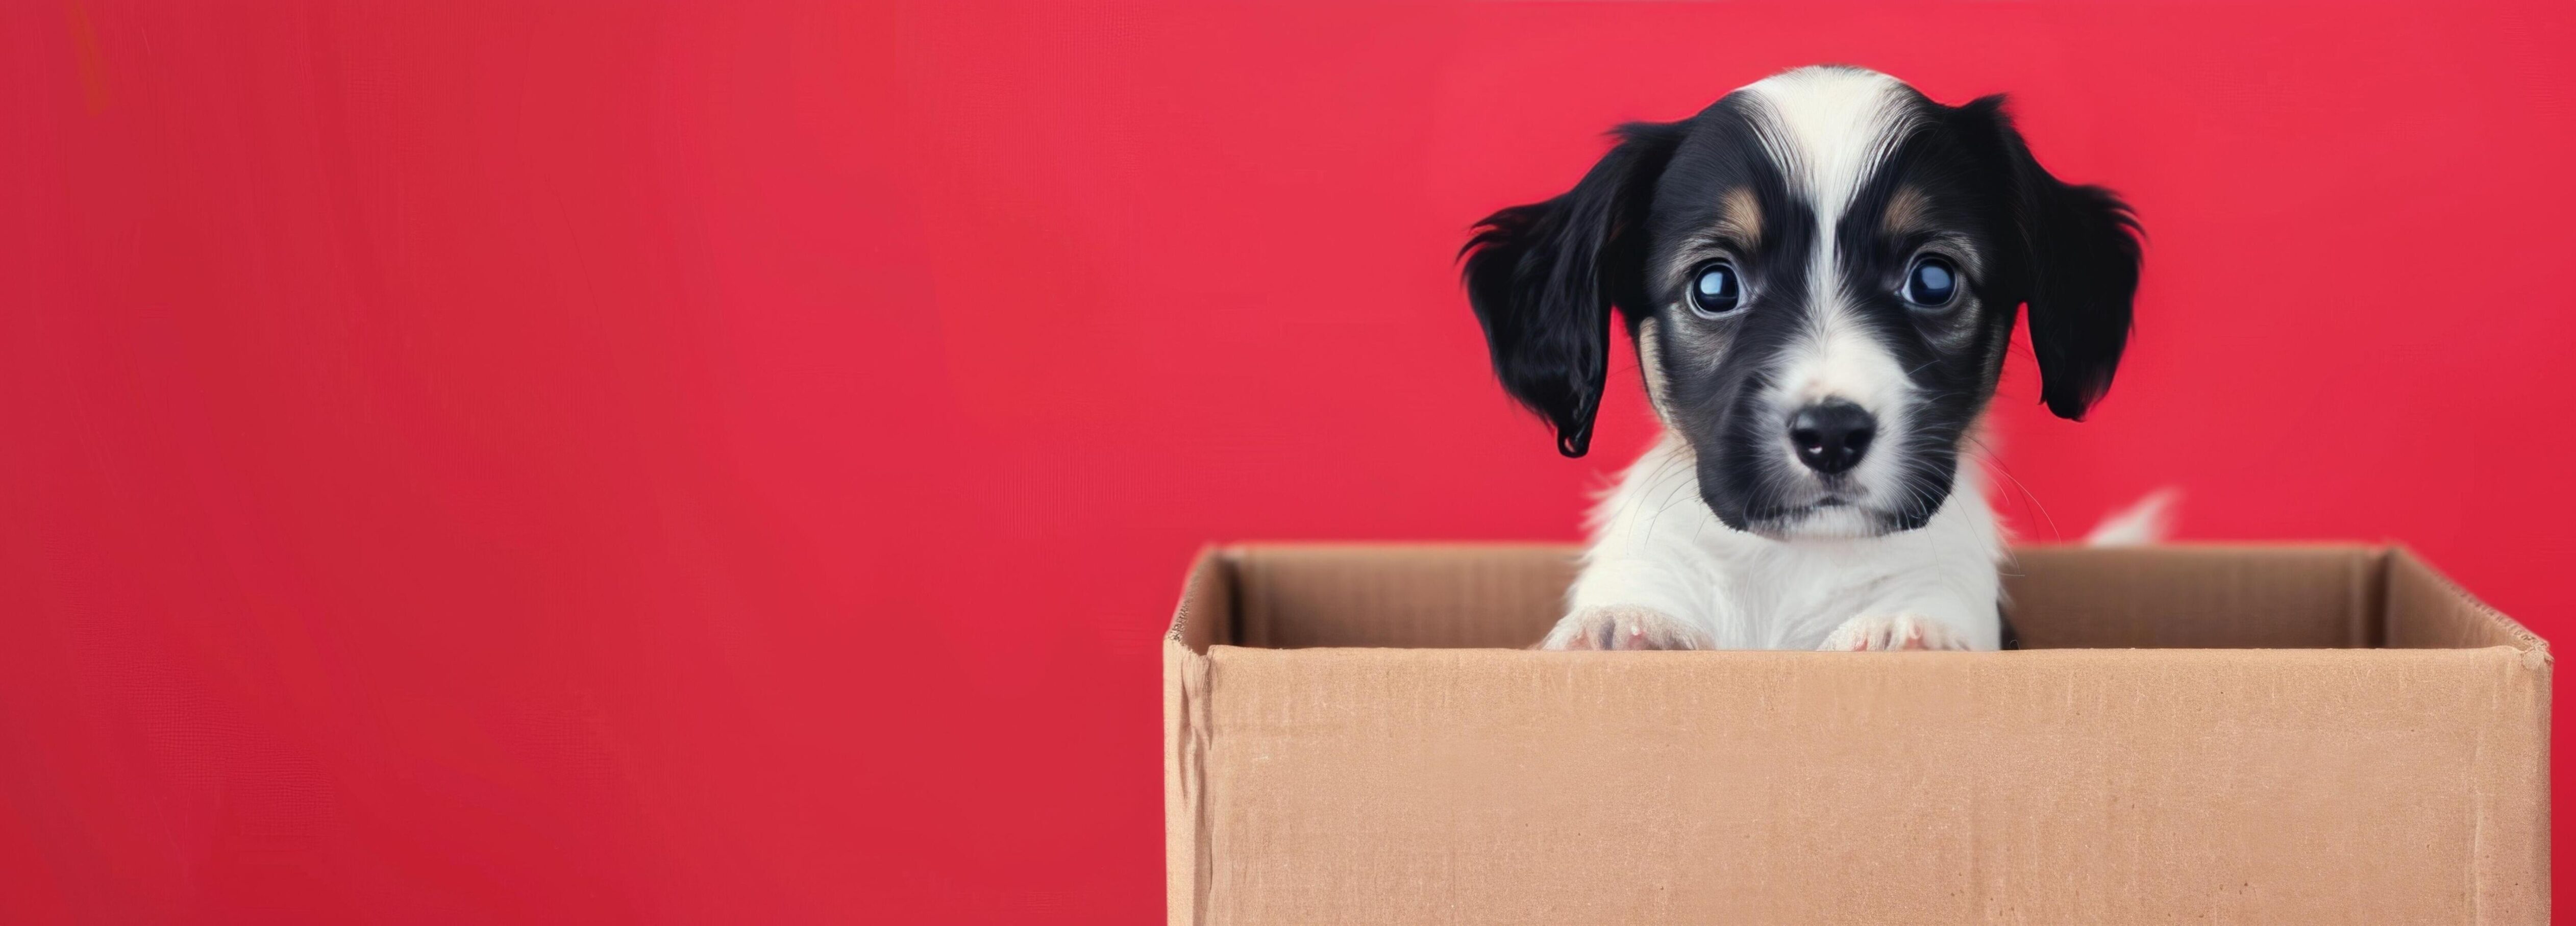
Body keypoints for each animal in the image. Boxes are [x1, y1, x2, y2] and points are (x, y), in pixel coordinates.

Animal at [1463, 65, 2143, 650]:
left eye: (1932, 281)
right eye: (1715, 287)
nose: (1832, 436)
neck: (1790, 563)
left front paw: (1901, 633)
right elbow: (1634, 601)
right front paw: (1622, 628)